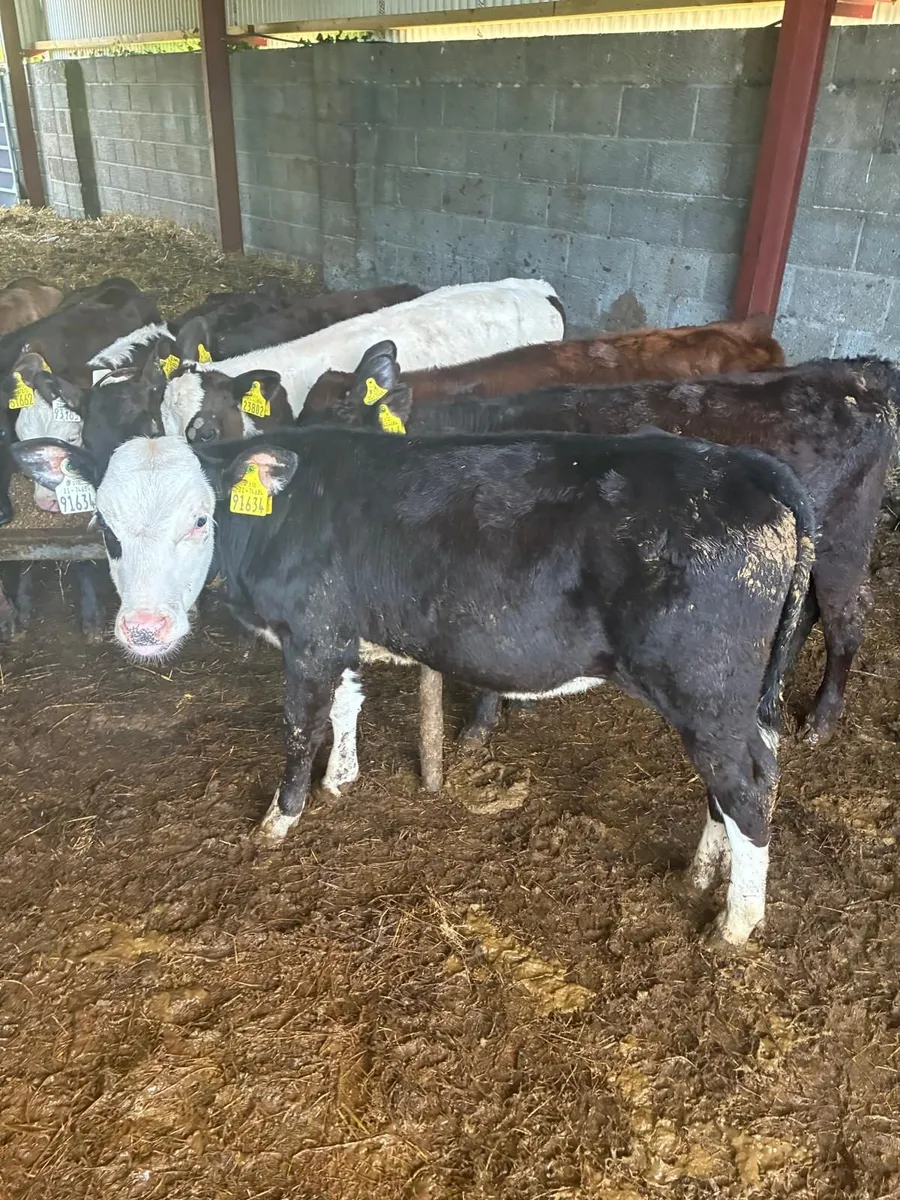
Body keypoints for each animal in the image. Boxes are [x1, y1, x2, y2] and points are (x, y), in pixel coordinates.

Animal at [12, 425, 815, 950]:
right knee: (743, 779)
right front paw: (342, 780)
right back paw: (703, 874)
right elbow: (347, 701)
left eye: (200, 518)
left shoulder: (310, 635)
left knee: (746, 789)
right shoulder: (340, 635)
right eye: (106, 526)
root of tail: (742, 464)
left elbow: (299, 724)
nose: (144, 630)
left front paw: (280, 819)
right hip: (730, 700)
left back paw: (735, 923)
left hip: (704, 689)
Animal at [299, 341, 900, 747]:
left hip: (844, 537)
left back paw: (820, 721)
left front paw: (480, 725)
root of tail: (856, 371)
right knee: (806, 615)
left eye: (341, 423)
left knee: (848, 617)